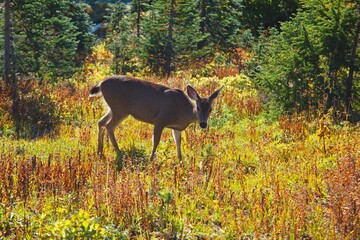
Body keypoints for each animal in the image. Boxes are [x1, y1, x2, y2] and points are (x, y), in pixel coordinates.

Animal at [90, 75, 222, 161]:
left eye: (210, 109)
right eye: (198, 108)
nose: (203, 124)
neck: (182, 112)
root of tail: (101, 83)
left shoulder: (176, 128)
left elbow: (178, 142)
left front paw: (180, 161)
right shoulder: (160, 120)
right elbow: (156, 141)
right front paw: (151, 159)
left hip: (113, 108)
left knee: (100, 122)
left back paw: (99, 152)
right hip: (120, 109)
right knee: (109, 126)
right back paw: (118, 152)